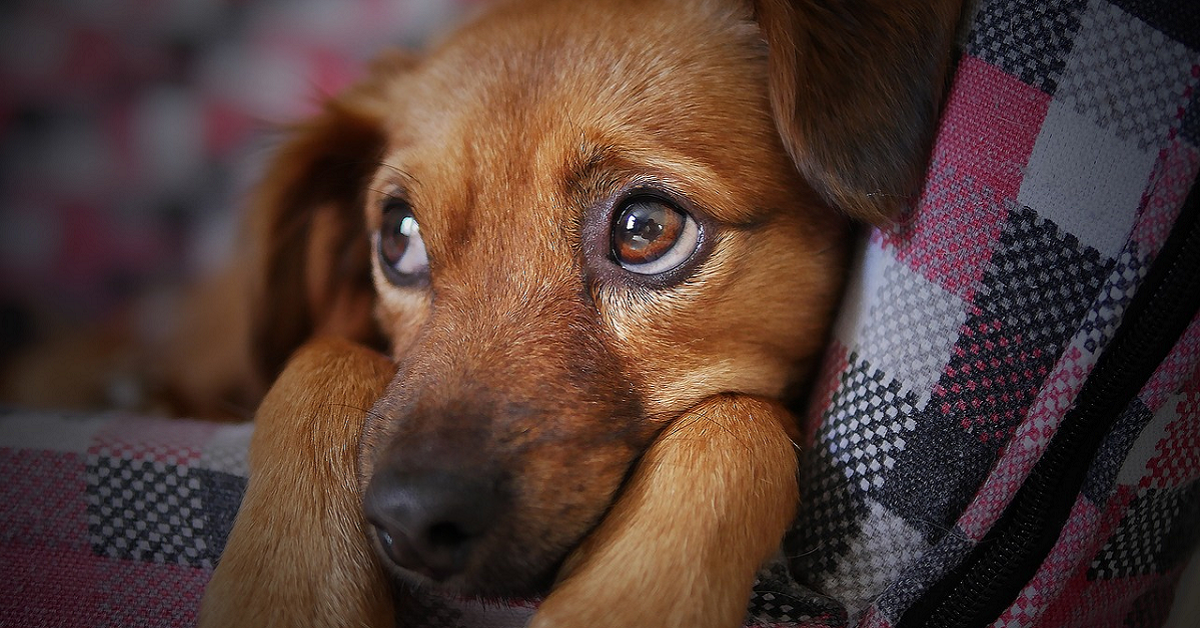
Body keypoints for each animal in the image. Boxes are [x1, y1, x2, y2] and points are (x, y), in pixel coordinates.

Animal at [194, 0, 964, 624]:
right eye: (399, 236)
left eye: (645, 229)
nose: (411, 521)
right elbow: (321, 355)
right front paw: (285, 592)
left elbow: (736, 421)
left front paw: (623, 602)